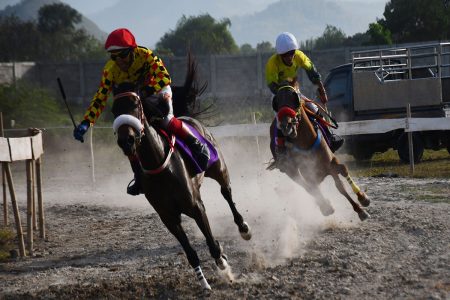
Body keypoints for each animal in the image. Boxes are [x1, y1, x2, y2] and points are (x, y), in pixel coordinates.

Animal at [110, 57, 251, 290]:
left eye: (135, 104)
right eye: (114, 109)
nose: (126, 140)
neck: (160, 167)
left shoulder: (196, 206)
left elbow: (212, 243)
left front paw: (223, 263)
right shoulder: (168, 217)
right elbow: (190, 252)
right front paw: (203, 282)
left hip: (218, 168)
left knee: (227, 193)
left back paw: (243, 227)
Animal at [270, 84, 370, 220]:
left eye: (295, 100)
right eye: (277, 103)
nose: (286, 126)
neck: (306, 142)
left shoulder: (331, 162)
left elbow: (341, 178)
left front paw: (362, 199)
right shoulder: (306, 171)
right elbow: (314, 187)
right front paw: (358, 209)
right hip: (292, 171)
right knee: (308, 187)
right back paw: (325, 206)